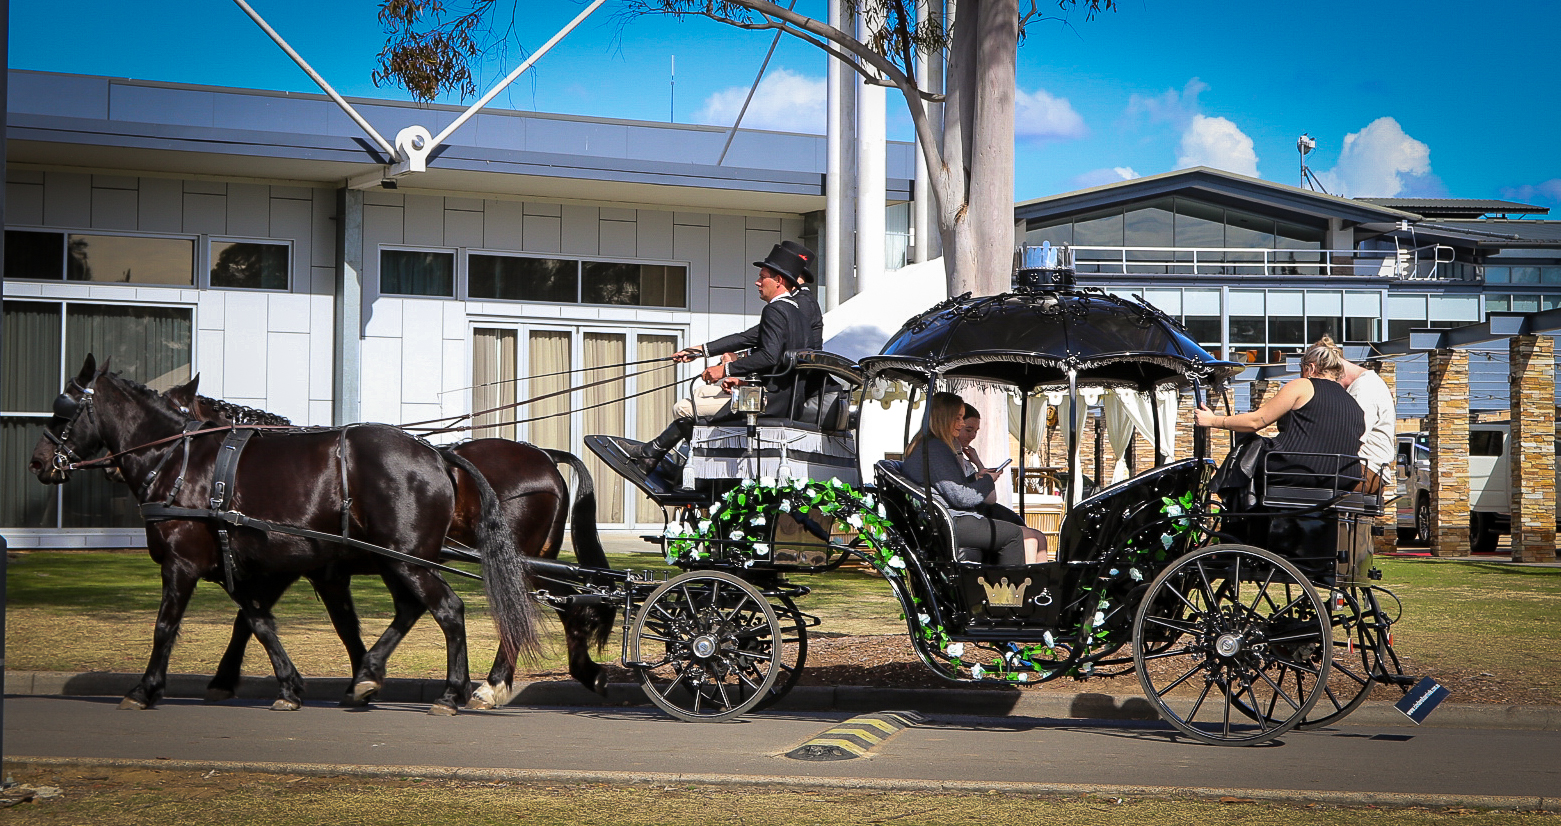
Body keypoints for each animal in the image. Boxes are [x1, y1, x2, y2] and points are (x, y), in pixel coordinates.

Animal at [30, 357, 543, 712]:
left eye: (62, 410)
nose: (37, 461)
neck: (181, 461)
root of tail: (437, 455)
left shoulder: (186, 563)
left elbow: (166, 626)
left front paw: (145, 689)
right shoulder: (253, 566)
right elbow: (260, 621)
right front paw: (290, 685)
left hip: (406, 560)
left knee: (449, 610)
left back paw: (454, 692)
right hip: (398, 560)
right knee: (413, 608)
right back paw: (372, 677)